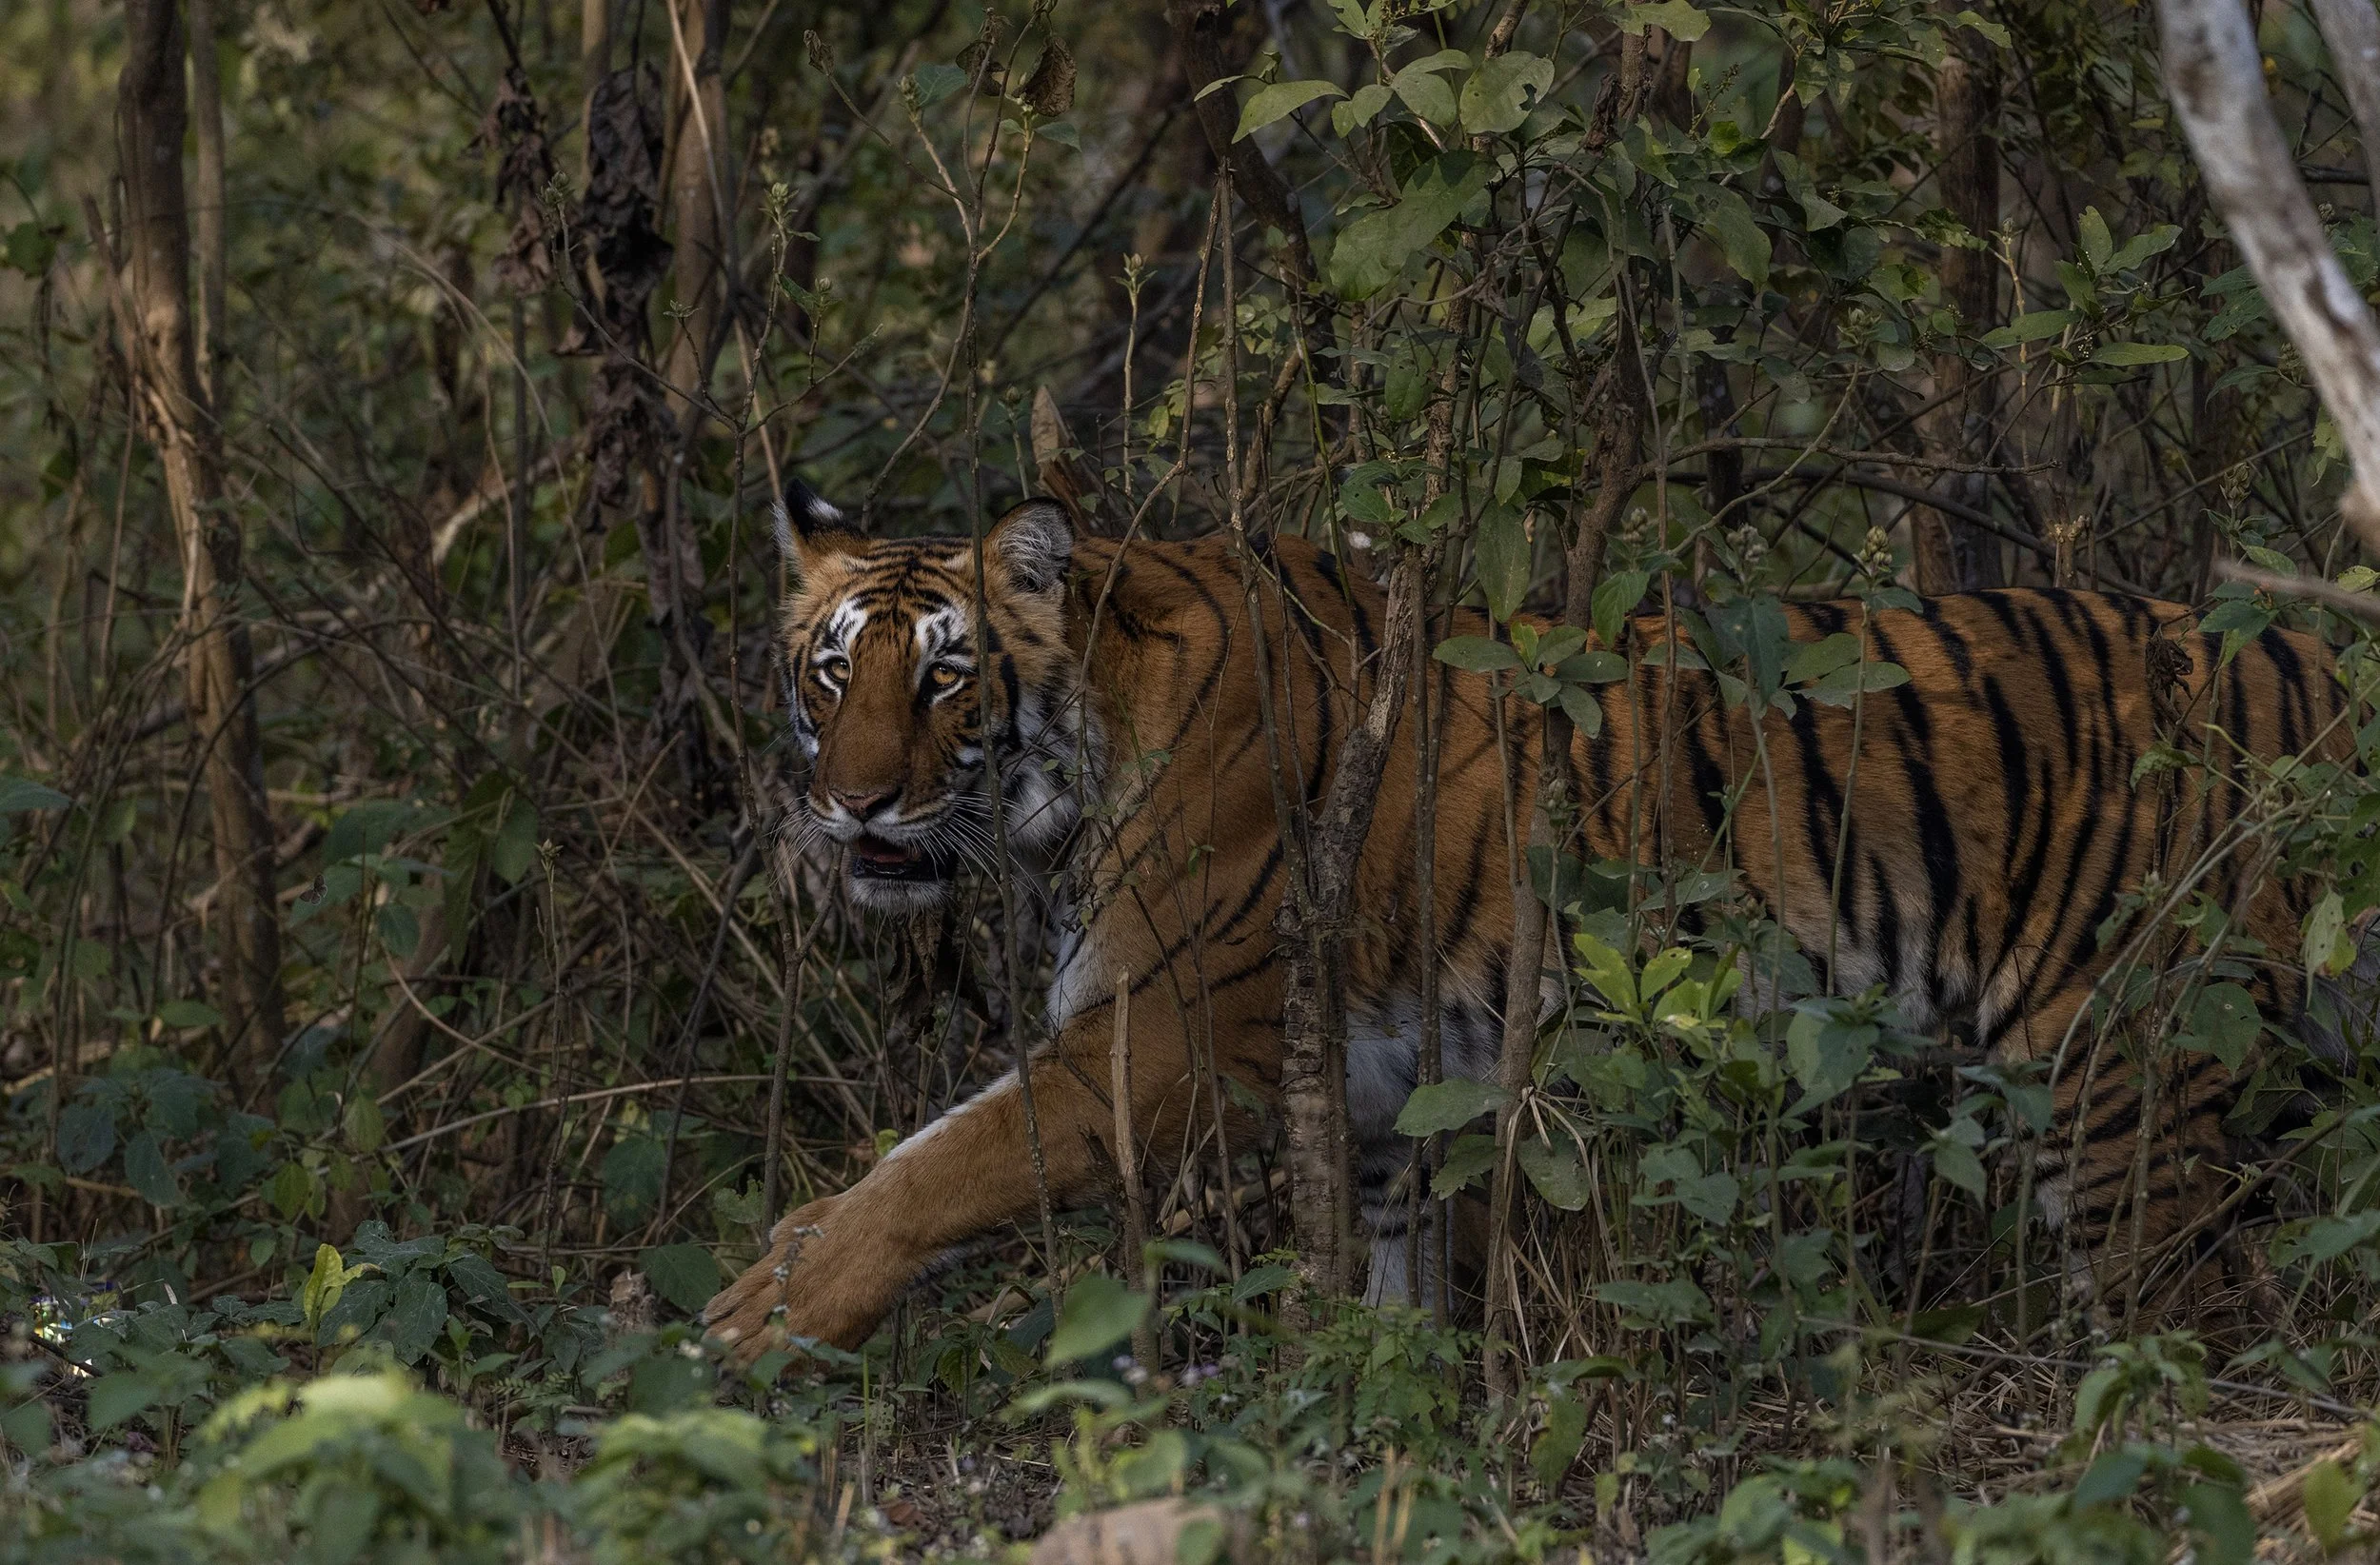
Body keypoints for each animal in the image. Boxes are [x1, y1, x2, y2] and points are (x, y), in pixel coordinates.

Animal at [703, 482, 2358, 1359]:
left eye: (946, 677)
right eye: (835, 673)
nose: (850, 807)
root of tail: (2297, 658)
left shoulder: (1170, 1041)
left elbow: (951, 1159)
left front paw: (767, 1305)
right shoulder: (1371, 1087)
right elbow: (1387, 1274)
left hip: (2121, 1074)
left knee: (2192, 1337)